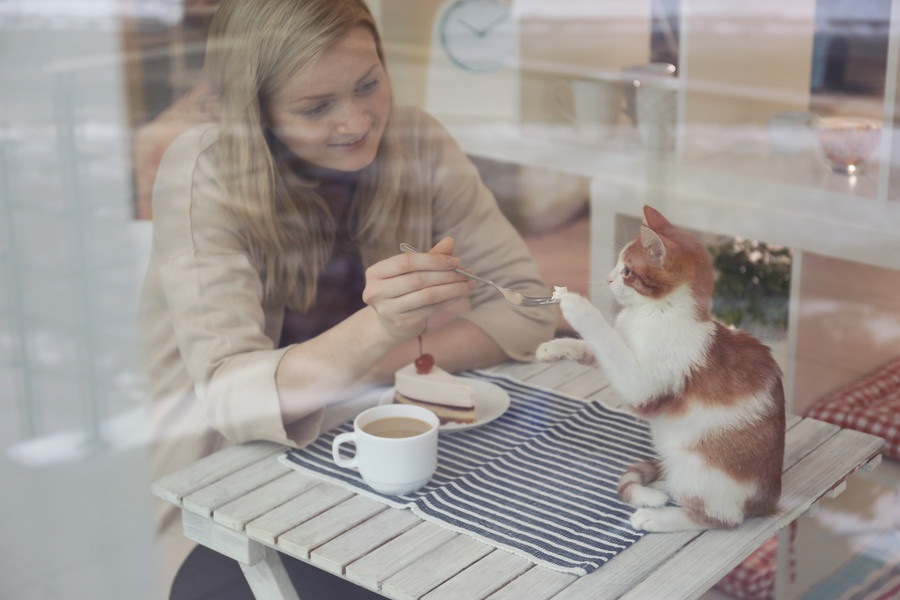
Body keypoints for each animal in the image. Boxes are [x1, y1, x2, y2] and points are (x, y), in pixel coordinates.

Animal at [536, 207, 784, 536]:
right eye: (618, 264)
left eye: (627, 271)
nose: (607, 278)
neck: (656, 312)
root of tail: (767, 499)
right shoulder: (624, 347)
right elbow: (599, 347)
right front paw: (555, 347)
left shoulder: (645, 386)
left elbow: (608, 342)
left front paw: (577, 305)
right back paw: (664, 485)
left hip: (699, 469)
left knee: (720, 518)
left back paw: (658, 516)